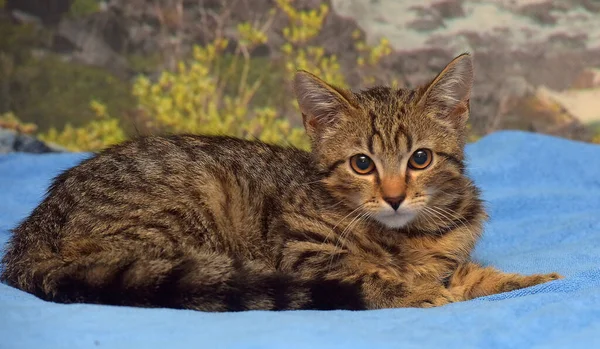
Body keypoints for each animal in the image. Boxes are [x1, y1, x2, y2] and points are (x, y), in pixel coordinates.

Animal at [1, 53, 564, 308]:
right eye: (362, 164)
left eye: (420, 158)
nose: (394, 197)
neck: (408, 237)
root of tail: (31, 233)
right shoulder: (304, 252)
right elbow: (374, 275)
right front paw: (414, 291)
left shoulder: (451, 258)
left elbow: (473, 276)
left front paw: (533, 280)